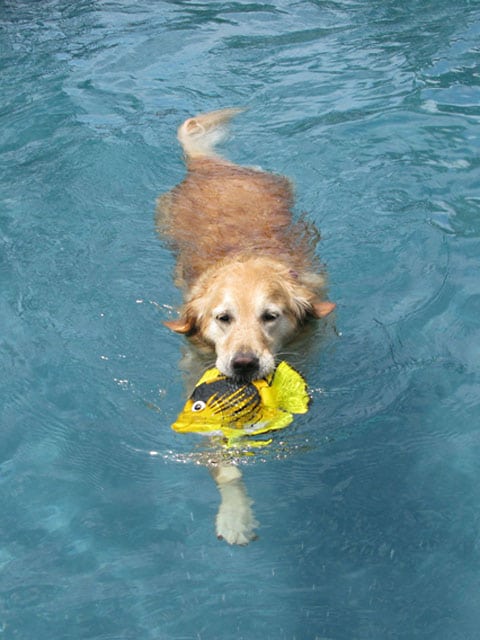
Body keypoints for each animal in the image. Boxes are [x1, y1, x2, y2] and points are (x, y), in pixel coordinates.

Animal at [157, 107, 334, 544]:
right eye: (223, 318)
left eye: (271, 316)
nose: (243, 365)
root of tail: (207, 166)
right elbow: (225, 464)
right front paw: (235, 516)